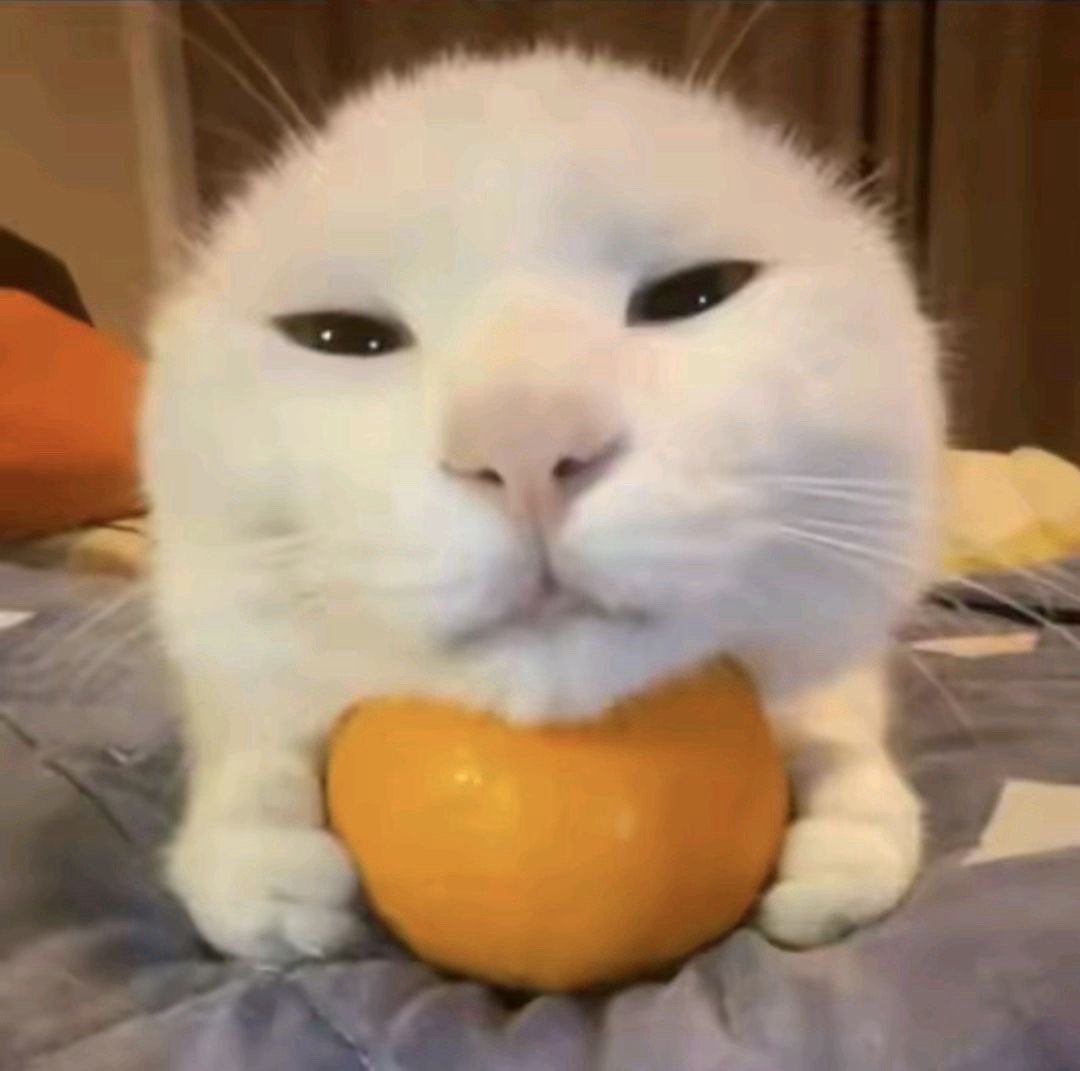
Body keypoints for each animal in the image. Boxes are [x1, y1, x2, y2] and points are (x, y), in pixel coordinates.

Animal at [141, 49, 945, 964]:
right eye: (339, 335)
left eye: (697, 292)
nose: (525, 443)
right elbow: (246, 731)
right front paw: (257, 858)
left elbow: (836, 706)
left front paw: (848, 821)